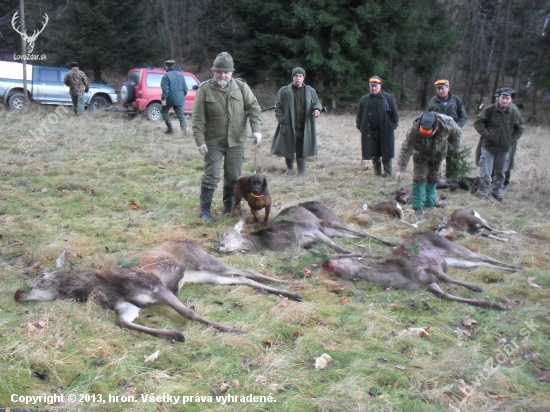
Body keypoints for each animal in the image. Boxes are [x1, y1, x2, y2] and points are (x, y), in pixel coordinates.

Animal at [16, 238, 302, 342]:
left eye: (42, 279)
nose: (17, 294)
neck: (103, 289)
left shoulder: (155, 286)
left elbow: (188, 313)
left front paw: (233, 329)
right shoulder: (131, 305)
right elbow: (123, 322)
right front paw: (174, 334)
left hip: (205, 262)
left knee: (246, 269)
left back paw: (292, 286)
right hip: (205, 275)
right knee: (241, 279)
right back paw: (289, 292)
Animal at [324, 232, 520, 308]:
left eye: (343, 258)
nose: (325, 262)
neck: (399, 276)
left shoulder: (426, 264)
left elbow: (446, 278)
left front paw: (476, 288)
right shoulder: (428, 285)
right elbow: (446, 295)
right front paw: (493, 304)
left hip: (452, 247)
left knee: (481, 256)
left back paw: (515, 266)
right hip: (453, 260)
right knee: (480, 263)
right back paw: (512, 269)